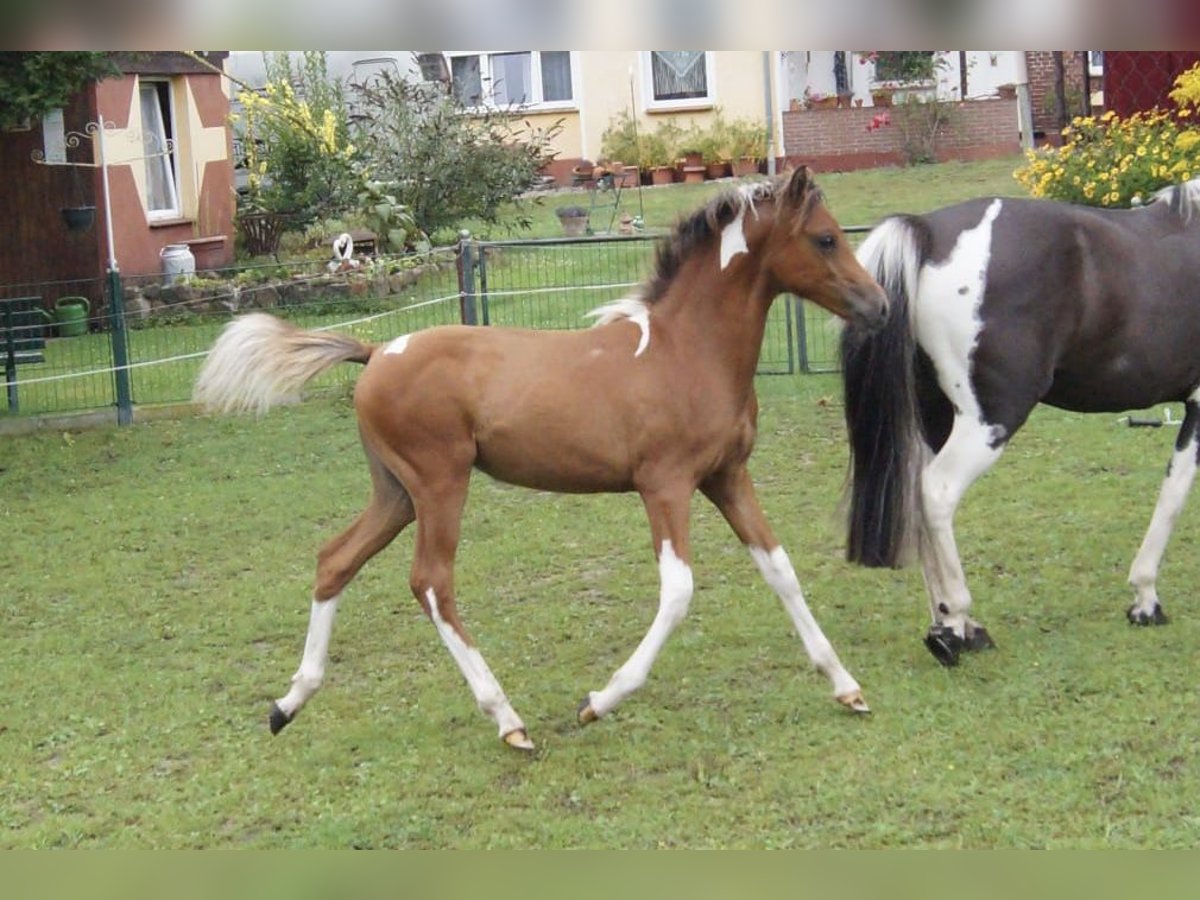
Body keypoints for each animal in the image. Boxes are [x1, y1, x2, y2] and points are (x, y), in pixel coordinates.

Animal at [196, 168, 888, 748]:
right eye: (826, 239)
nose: (879, 305)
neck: (684, 351)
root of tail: (376, 353)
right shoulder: (665, 485)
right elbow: (678, 591)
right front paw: (597, 702)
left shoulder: (727, 476)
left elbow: (780, 569)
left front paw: (847, 686)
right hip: (438, 485)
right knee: (430, 582)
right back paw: (508, 720)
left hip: (395, 491)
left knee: (335, 559)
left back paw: (288, 704)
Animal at [840, 177, 1200, 672]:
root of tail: (929, 231)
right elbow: (1174, 495)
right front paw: (1146, 599)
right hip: (989, 421)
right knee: (936, 492)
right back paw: (956, 627)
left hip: (936, 418)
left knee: (918, 493)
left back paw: (947, 625)